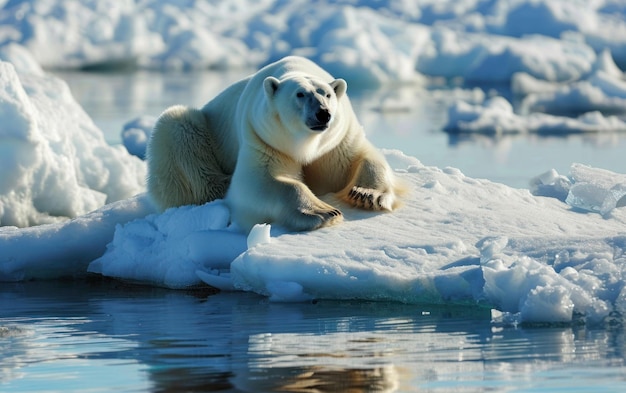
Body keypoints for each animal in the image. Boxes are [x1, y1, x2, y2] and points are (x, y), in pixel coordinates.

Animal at [146, 56, 402, 231]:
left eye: (327, 94)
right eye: (300, 94)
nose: (323, 114)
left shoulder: (337, 142)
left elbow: (363, 158)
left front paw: (367, 195)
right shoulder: (262, 139)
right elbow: (260, 182)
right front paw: (324, 211)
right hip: (200, 131)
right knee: (176, 127)